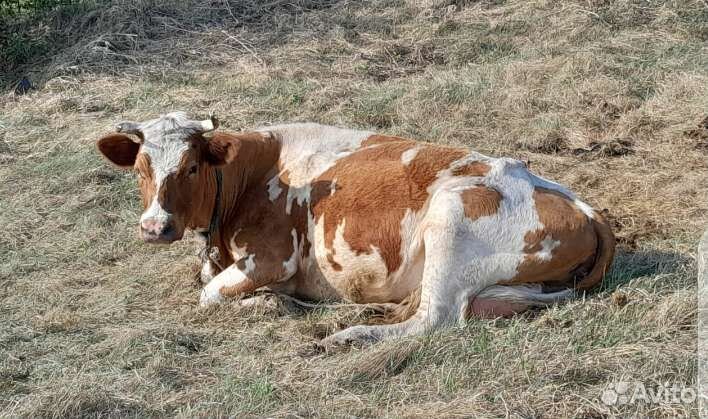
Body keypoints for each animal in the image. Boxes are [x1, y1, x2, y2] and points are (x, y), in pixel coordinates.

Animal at [96, 112, 615, 345]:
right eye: (140, 169)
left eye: (189, 167)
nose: (155, 227)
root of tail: (581, 205)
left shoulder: (272, 256)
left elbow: (208, 295)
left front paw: (266, 303)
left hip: (449, 221)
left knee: (433, 319)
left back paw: (348, 336)